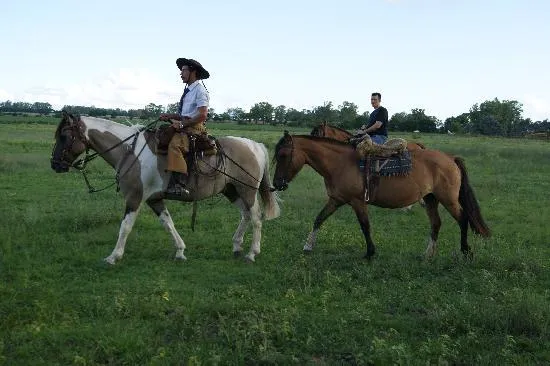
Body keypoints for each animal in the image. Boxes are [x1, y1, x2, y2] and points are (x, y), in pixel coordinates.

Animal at [50, 111, 280, 264]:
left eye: (64, 136)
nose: (54, 164)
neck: (130, 151)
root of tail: (255, 146)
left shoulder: (135, 197)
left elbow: (125, 226)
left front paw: (113, 256)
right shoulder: (154, 199)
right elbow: (167, 223)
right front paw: (180, 251)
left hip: (247, 191)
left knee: (256, 218)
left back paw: (252, 253)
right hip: (232, 190)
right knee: (245, 215)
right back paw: (236, 246)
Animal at [272, 132, 492, 260]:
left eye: (283, 155)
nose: (276, 184)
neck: (340, 163)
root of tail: (450, 158)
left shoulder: (357, 202)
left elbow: (365, 226)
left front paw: (370, 252)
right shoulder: (336, 200)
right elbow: (319, 218)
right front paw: (308, 245)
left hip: (448, 199)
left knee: (463, 219)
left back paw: (465, 251)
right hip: (431, 199)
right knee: (436, 223)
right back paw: (428, 254)